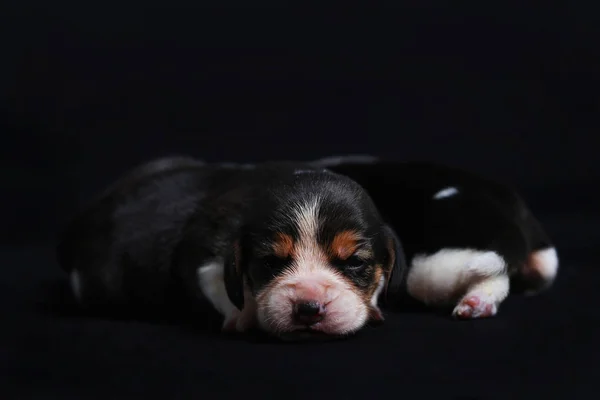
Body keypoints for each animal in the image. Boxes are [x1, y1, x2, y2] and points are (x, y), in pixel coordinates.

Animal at [56, 158, 406, 340]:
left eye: (354, 261)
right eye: (270, 261)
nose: (308, 308)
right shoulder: (205, 255)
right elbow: (222, 287)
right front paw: (244, 317)